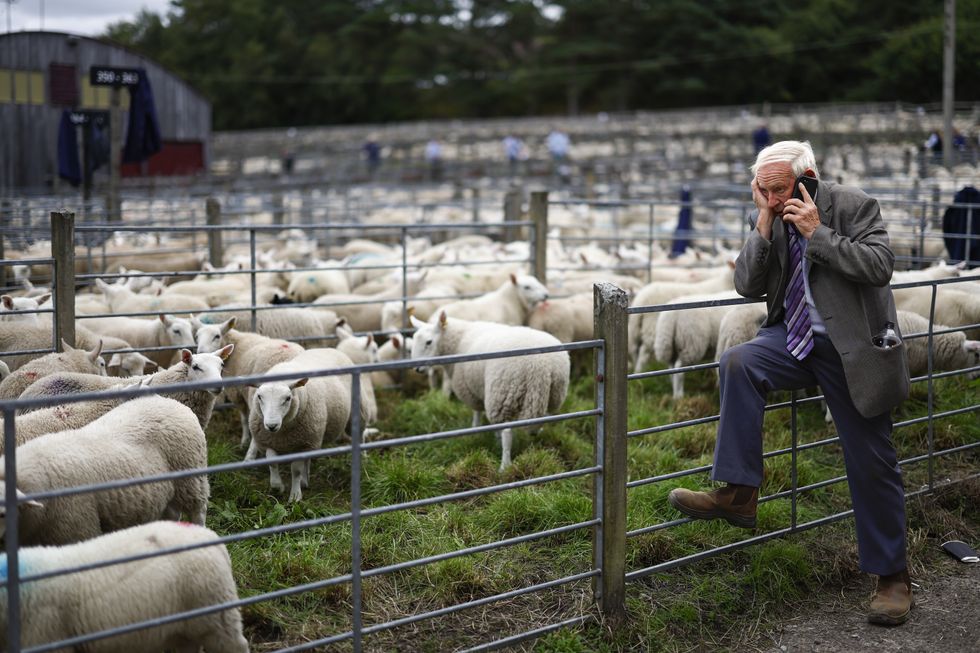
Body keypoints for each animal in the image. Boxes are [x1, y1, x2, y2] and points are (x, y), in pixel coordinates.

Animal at [0, 394, 211, 548]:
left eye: (2, 514)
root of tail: (170, 402)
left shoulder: (76, 529)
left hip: (191, 478)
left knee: (198, 512)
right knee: (172, 512)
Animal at [410, 314, 572, 472]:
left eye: (429, 342)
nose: (417, 369)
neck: (457, 341)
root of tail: (540, 365)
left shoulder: (471, 390)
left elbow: (477, 412)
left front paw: (475, 430)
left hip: (502, 395)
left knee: (507, 432)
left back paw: (504, 465)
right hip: (554, 394)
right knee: (546, 418)